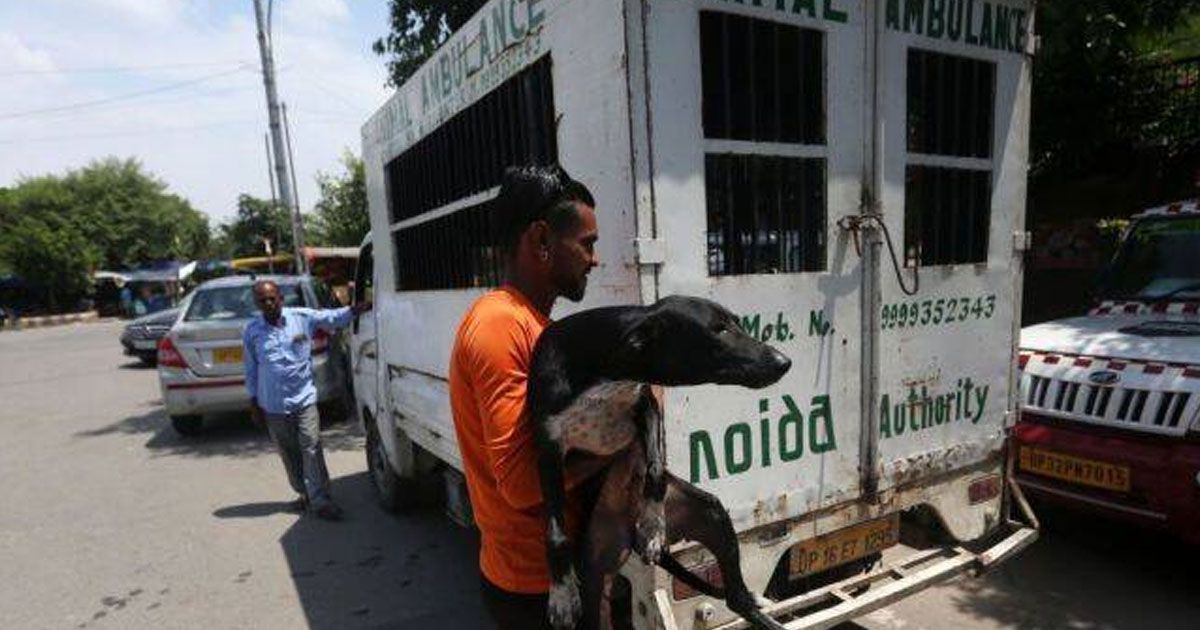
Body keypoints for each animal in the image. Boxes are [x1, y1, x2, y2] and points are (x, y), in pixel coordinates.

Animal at [528, 296, 792, 628]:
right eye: (717, 329)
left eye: (736, 322)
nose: (784, 362)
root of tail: (626, 532)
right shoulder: (547, 446)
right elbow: (555, 532)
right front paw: (561, 594)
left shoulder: (647, 406)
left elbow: (655, 468)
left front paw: (653, 526)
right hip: (593, 572)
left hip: (714, 517)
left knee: (737, 598)